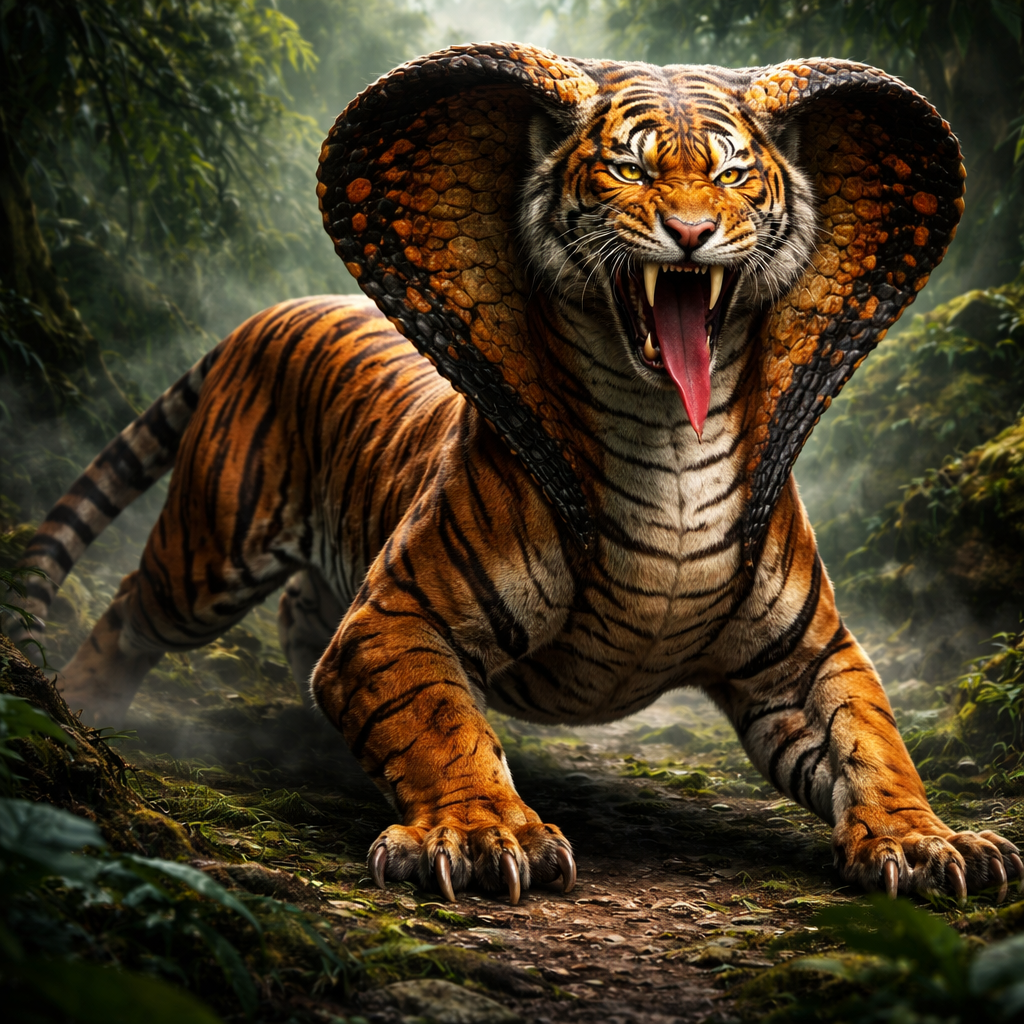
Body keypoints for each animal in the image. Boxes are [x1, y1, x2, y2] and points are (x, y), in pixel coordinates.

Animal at [9, 42, 1021, 905]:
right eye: (631, 169)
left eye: (735, 176)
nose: (692, 232)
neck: (673, 447)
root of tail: (274, 307)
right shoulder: (393, 619)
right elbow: (437, 723)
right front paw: (479, 835)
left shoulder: (809, 654)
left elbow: (872, 739)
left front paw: (930, 842)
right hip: (211, 550)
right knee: (134, 607)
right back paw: (86, 708)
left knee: (294, 614)